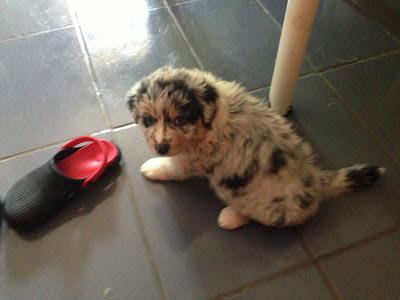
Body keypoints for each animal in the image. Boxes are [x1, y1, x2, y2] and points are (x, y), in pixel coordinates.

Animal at [126, 68, 386, 230]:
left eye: (180, 120)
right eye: (148, 120)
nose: (160, 147)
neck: (215, 116)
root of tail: (318, 183)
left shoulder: (194, 160)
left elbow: (173, 168)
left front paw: (153, 167)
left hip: (254, 200)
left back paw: (230, 217)